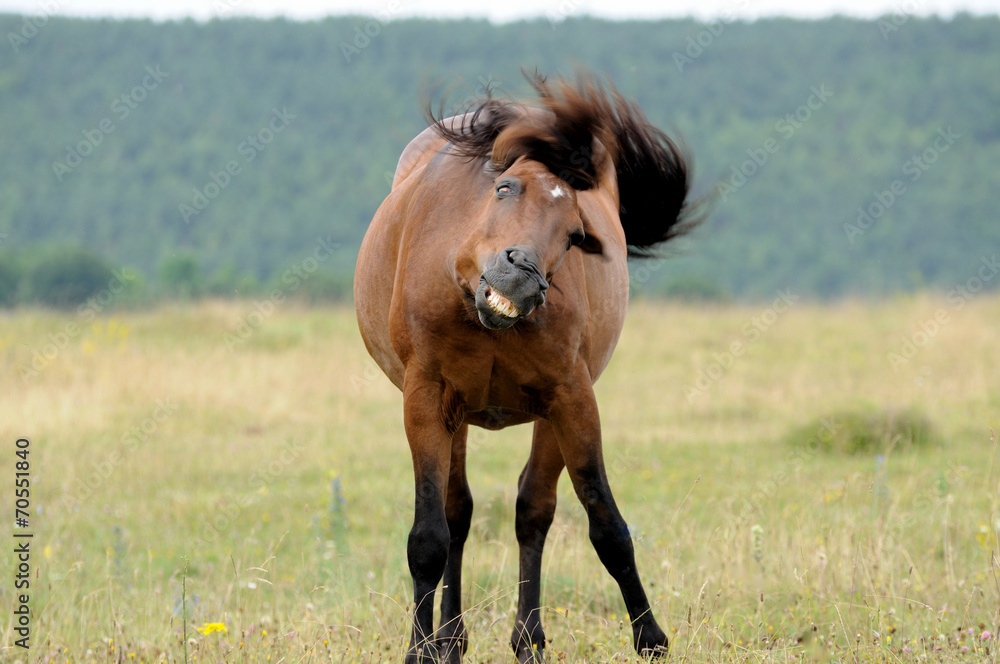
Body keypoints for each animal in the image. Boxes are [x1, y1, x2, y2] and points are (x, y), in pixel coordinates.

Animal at [354, 72, 696, 664]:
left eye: (576, 235)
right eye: (505, 189)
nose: (520, 277)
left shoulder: (572, 396)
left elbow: (606, 525)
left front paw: (650, 637)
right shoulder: (426, 398)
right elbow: (429, 538)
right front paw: (419, 650)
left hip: (546, 415)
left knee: (531, 509)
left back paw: (527, 639)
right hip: (457, 416)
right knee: (459, 515)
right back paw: (450, 639)